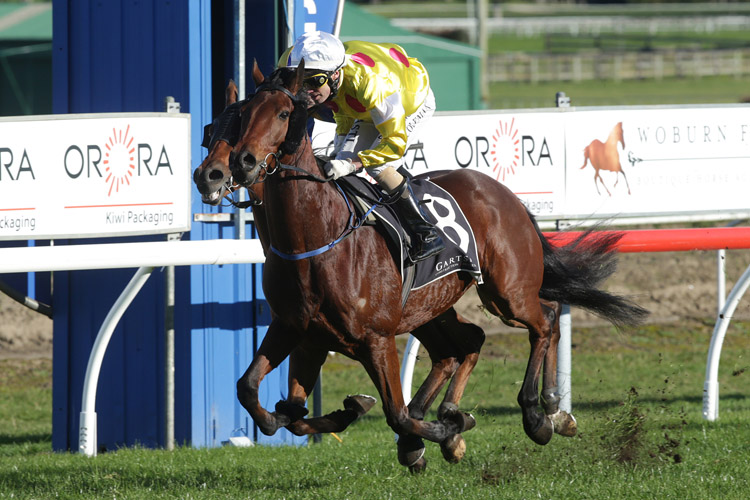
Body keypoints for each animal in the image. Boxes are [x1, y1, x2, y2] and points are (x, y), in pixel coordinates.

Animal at [226, 60, 648, 470]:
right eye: (241, 113)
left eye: (283, 113)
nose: (241, 161)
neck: (314, 242)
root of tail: (505, 193)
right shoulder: (299, 331)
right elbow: (262, 398)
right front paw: (343, 412)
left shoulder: (376, 339)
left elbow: (395, 414)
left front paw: (446, 432)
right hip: (429, 307)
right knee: (468, 342)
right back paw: (503, 410)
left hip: (506, 292)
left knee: (544, 320)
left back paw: (540, 413)